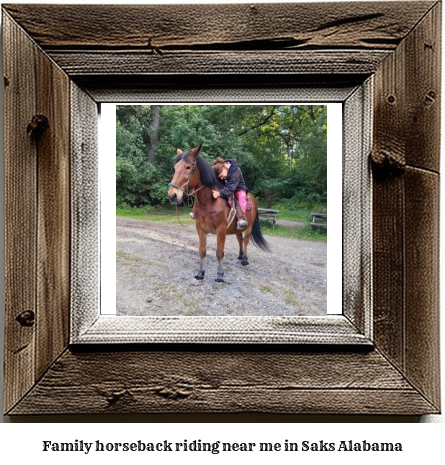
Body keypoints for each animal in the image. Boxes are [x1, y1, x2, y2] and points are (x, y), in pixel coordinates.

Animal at [167, 145, 268, 280]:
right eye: (175, 168)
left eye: (188, 167)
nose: (172, 195)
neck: (208, 202)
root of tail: (252, 199)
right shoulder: (200, 228)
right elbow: (202, 251)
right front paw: (200, 273)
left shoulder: (221, 229)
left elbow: (219, 253)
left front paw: (220, 275)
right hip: (236, 229)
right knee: (240, 239)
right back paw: (240, 255)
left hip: (249, 227)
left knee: (246, 241)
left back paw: (245, 259)